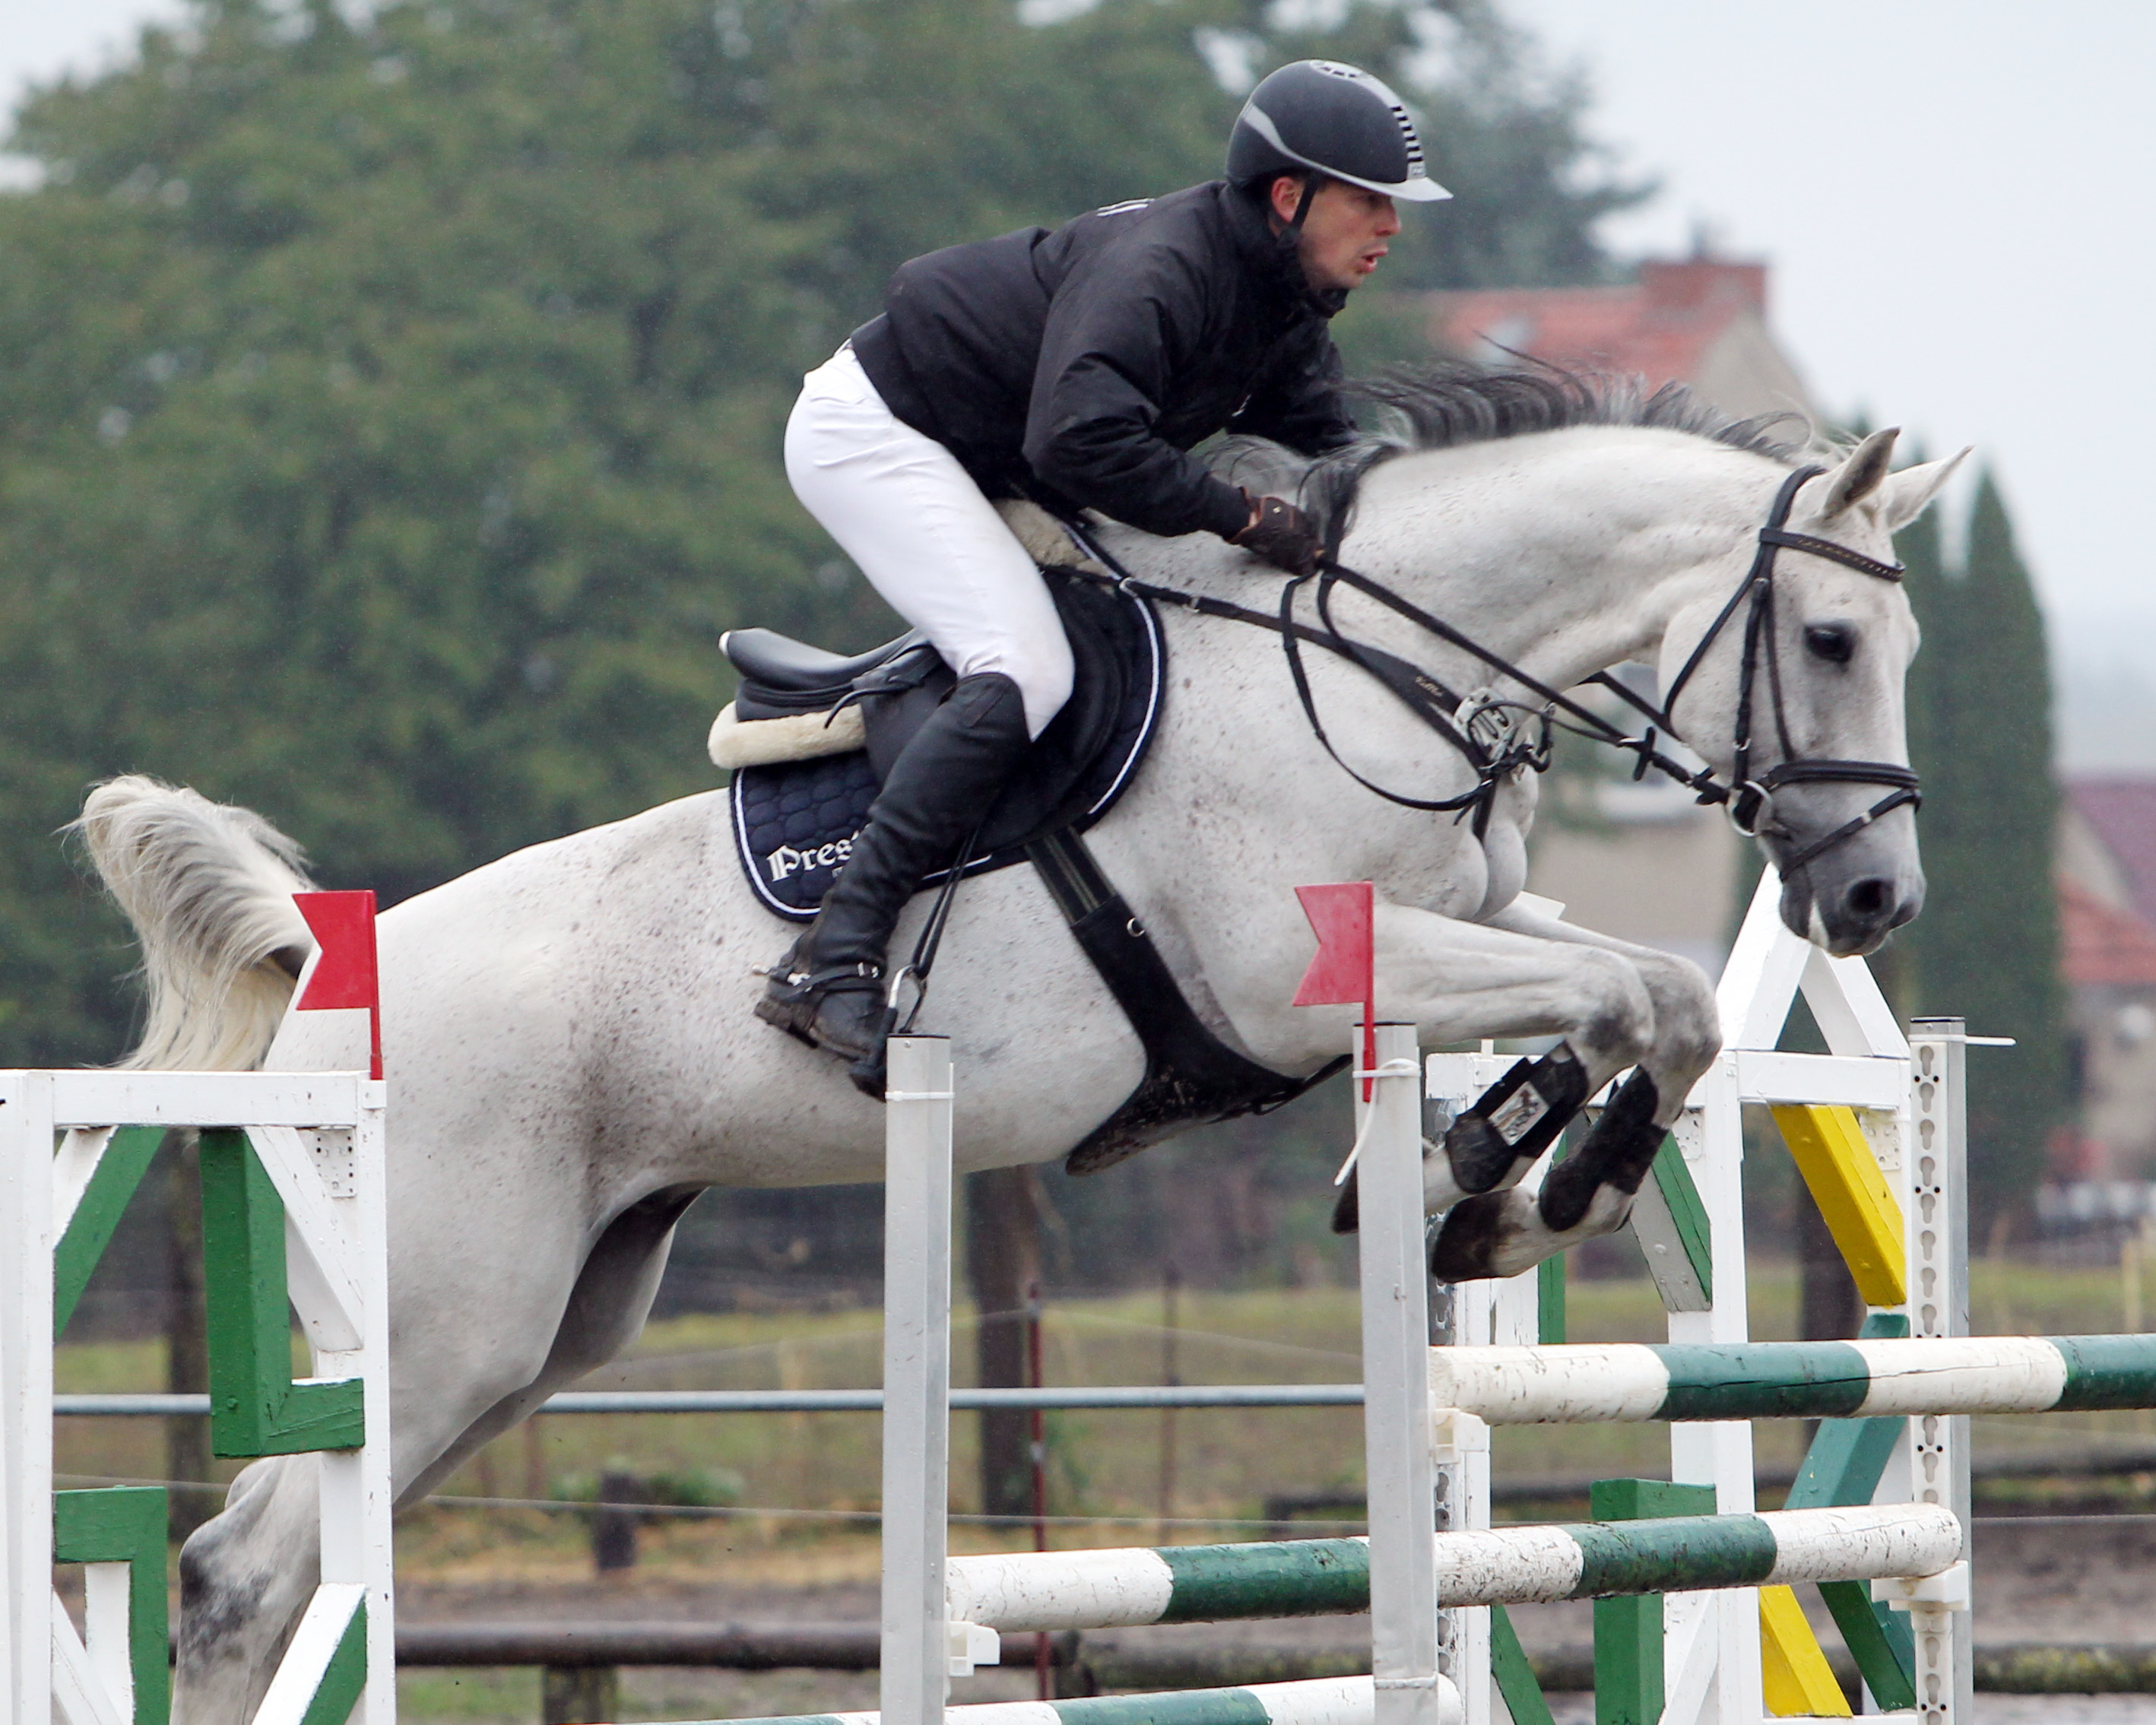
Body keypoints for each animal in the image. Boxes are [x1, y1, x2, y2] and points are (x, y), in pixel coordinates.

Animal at [75, 370, 1966, 1716]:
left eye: (1897, 646)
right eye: (1825, 638)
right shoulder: (1301, 984)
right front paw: (1514, 1189)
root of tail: (334, 972)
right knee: (243, 1578)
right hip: (443, 1328)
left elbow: (1644, 995)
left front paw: (1480, 1178)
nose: (1874, 894)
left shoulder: (1468, 939)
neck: (1369, 670)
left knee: (292, 1560)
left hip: (546, 1331)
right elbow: (1637, 999)